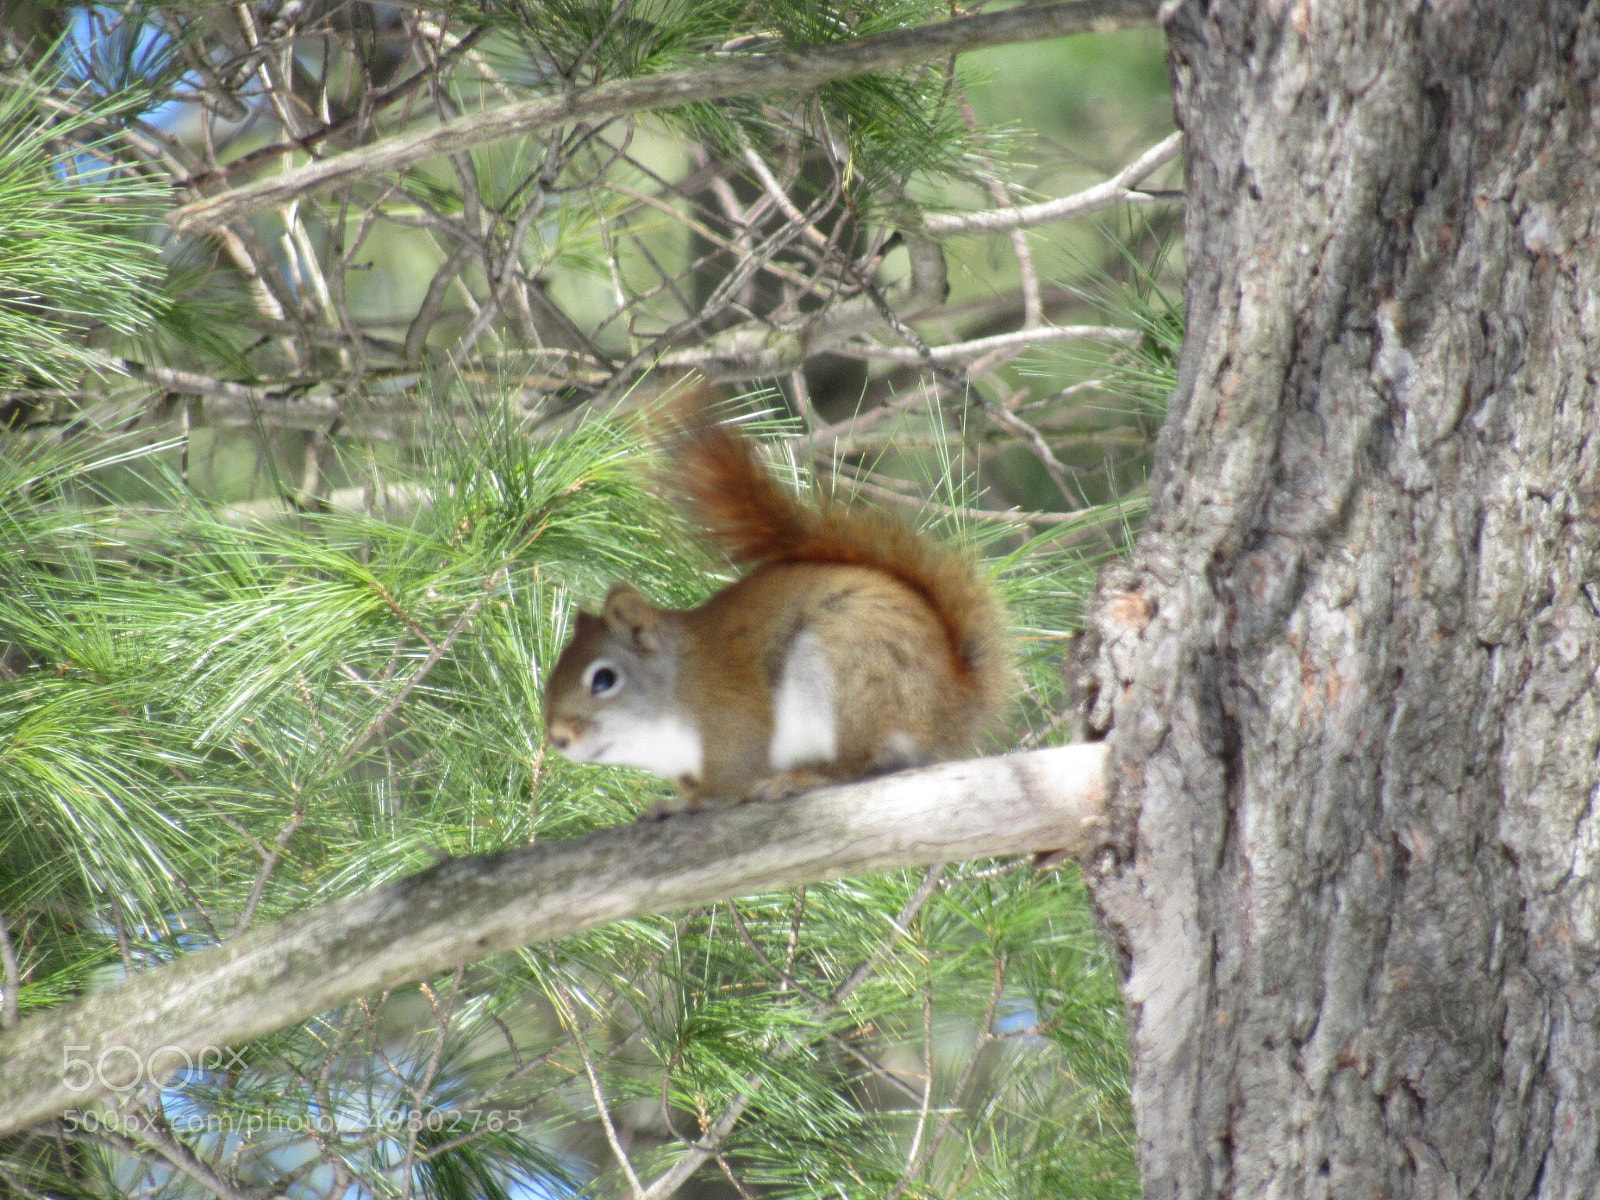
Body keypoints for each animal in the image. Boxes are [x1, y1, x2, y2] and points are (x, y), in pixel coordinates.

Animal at [542, 402, 1011, 814]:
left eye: (603, 679)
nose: (557, 739)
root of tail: (956, 703)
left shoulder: (734, 722)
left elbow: (725, 785)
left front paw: (685, 804)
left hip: (851, 680)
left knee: (855, 765)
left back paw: (798, 779)